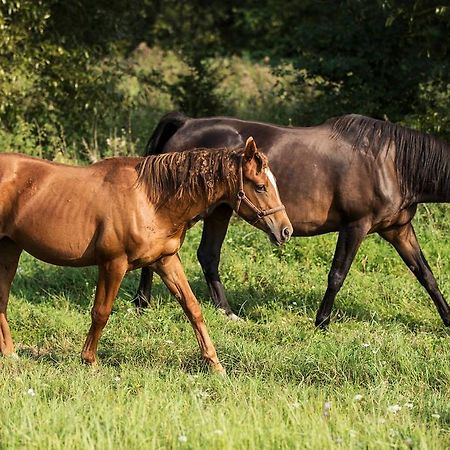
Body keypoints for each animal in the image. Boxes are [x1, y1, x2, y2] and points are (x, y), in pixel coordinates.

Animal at [0, 138, 292, 372]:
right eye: (260, 186)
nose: (285, 230)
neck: (151, 200)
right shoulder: (113, 264)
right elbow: (101, 312)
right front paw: (89, 360)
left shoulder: (166, 260)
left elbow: (193, 308)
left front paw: (214, 364)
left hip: (10, 249)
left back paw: (10, 353)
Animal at [134, 112, 450, 328]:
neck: (389, 163)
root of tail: (185, 124)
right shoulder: (355, 226)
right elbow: (337, 275)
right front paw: (322, 322)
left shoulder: (399, 229)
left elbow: (427, 275)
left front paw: (447, 320)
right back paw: (142, 303)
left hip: (220, 210)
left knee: (208, 255)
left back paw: (224, 312)